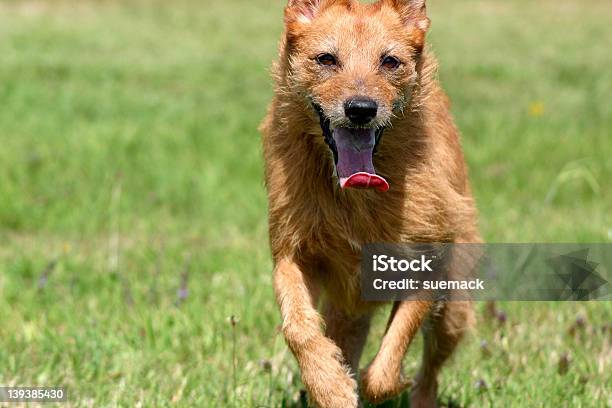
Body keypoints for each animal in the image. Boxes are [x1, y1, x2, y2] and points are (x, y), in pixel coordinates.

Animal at [258, 1, 478, 406]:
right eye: (326, 59)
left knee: (431, 370)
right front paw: (329, 385)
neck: (355, 195)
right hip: (347, 310)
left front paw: (380, 384)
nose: (361, 109)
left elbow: (387, 362)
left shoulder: (426, 262)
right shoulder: (292, 254)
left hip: (454, 309)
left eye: (390, 61)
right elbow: (297, 328)